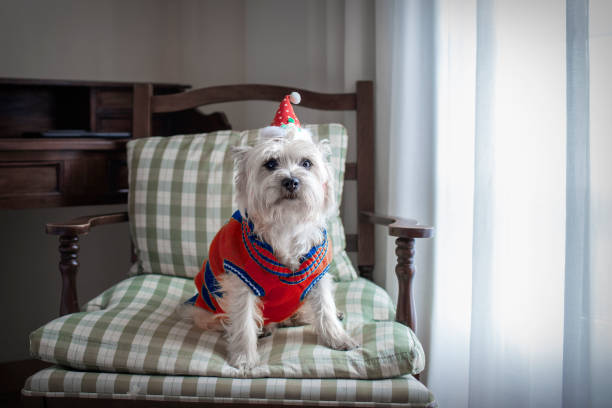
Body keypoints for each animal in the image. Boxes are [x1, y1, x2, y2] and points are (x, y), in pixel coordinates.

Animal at [184, 122, 358, 372]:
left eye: (307, 163)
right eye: (271, 163)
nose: (291, 181)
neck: (287, 222)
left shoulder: (317, 274)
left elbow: (325, 308)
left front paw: (338, 338)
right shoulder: (241, 281)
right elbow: (243, 321)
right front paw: (244, 357)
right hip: (207, 310)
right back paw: (265, 328)